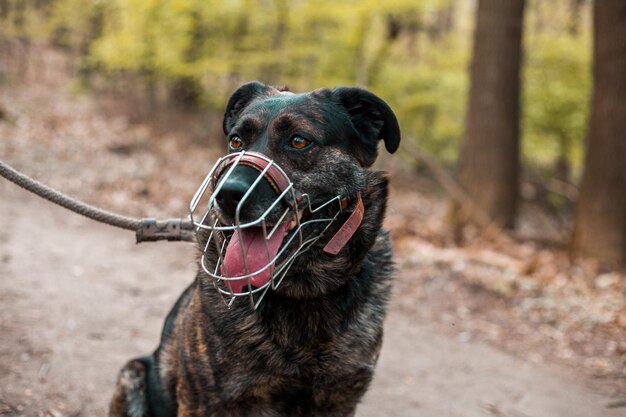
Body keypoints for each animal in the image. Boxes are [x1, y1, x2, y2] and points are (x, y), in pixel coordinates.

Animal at [109, 81, 400, 416]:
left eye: (298, 141)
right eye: (236, 141)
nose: (225, 195)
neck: (303, 293)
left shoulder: (339, 402)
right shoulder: (204, 400)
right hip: (132, 374)